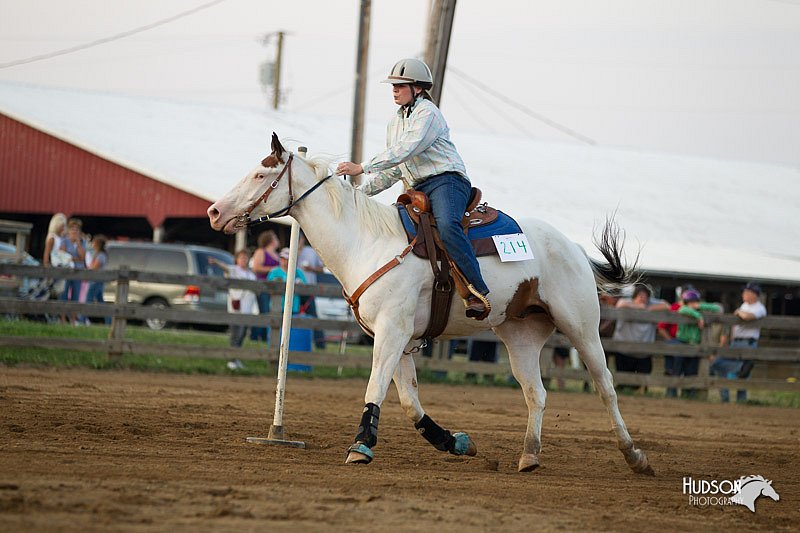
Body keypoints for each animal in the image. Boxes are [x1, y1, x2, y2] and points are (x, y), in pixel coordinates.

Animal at [209, 134, 652, 474]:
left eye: (261, 174)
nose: (214, 211)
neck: (365, 241)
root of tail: (573, 247)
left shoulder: (391, 332)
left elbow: (376, 387)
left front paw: (360, 446)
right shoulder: (402, 339)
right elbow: (409, 403)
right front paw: (455, 442)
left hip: (581, 327)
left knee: (606, 387)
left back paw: (635, 456)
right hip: (521, 335)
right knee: (535, 393)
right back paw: (529, 456)